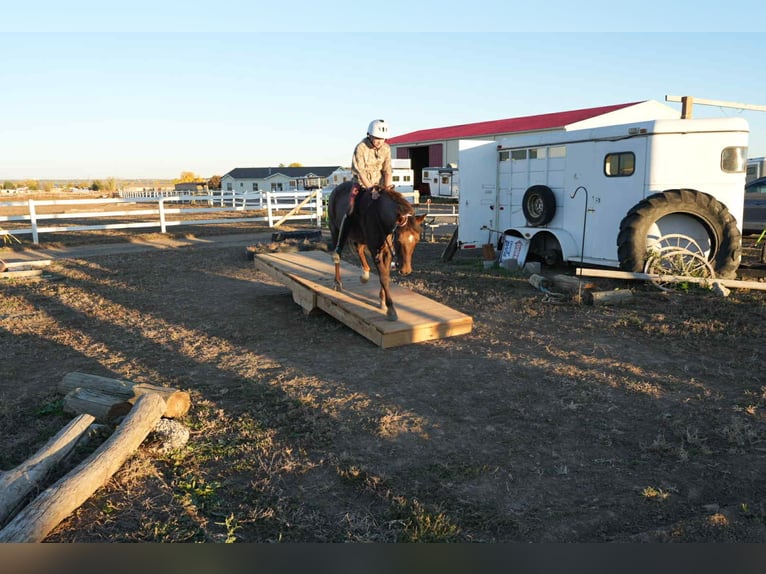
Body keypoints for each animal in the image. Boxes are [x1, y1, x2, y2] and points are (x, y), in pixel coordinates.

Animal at [328, 181, 426, 321]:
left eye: (417, 240)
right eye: (399, 240)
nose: (406, 270)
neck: (380, 217)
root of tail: (336, 189)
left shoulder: (386, 251)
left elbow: (385, 274)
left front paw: (382, 300)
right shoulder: (375, 250)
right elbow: (383, 277)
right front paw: (390, 309)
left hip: (360, 237)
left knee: (359, 249)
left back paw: (365, 274)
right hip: (335, 230)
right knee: (338, 254)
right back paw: (337, 282)